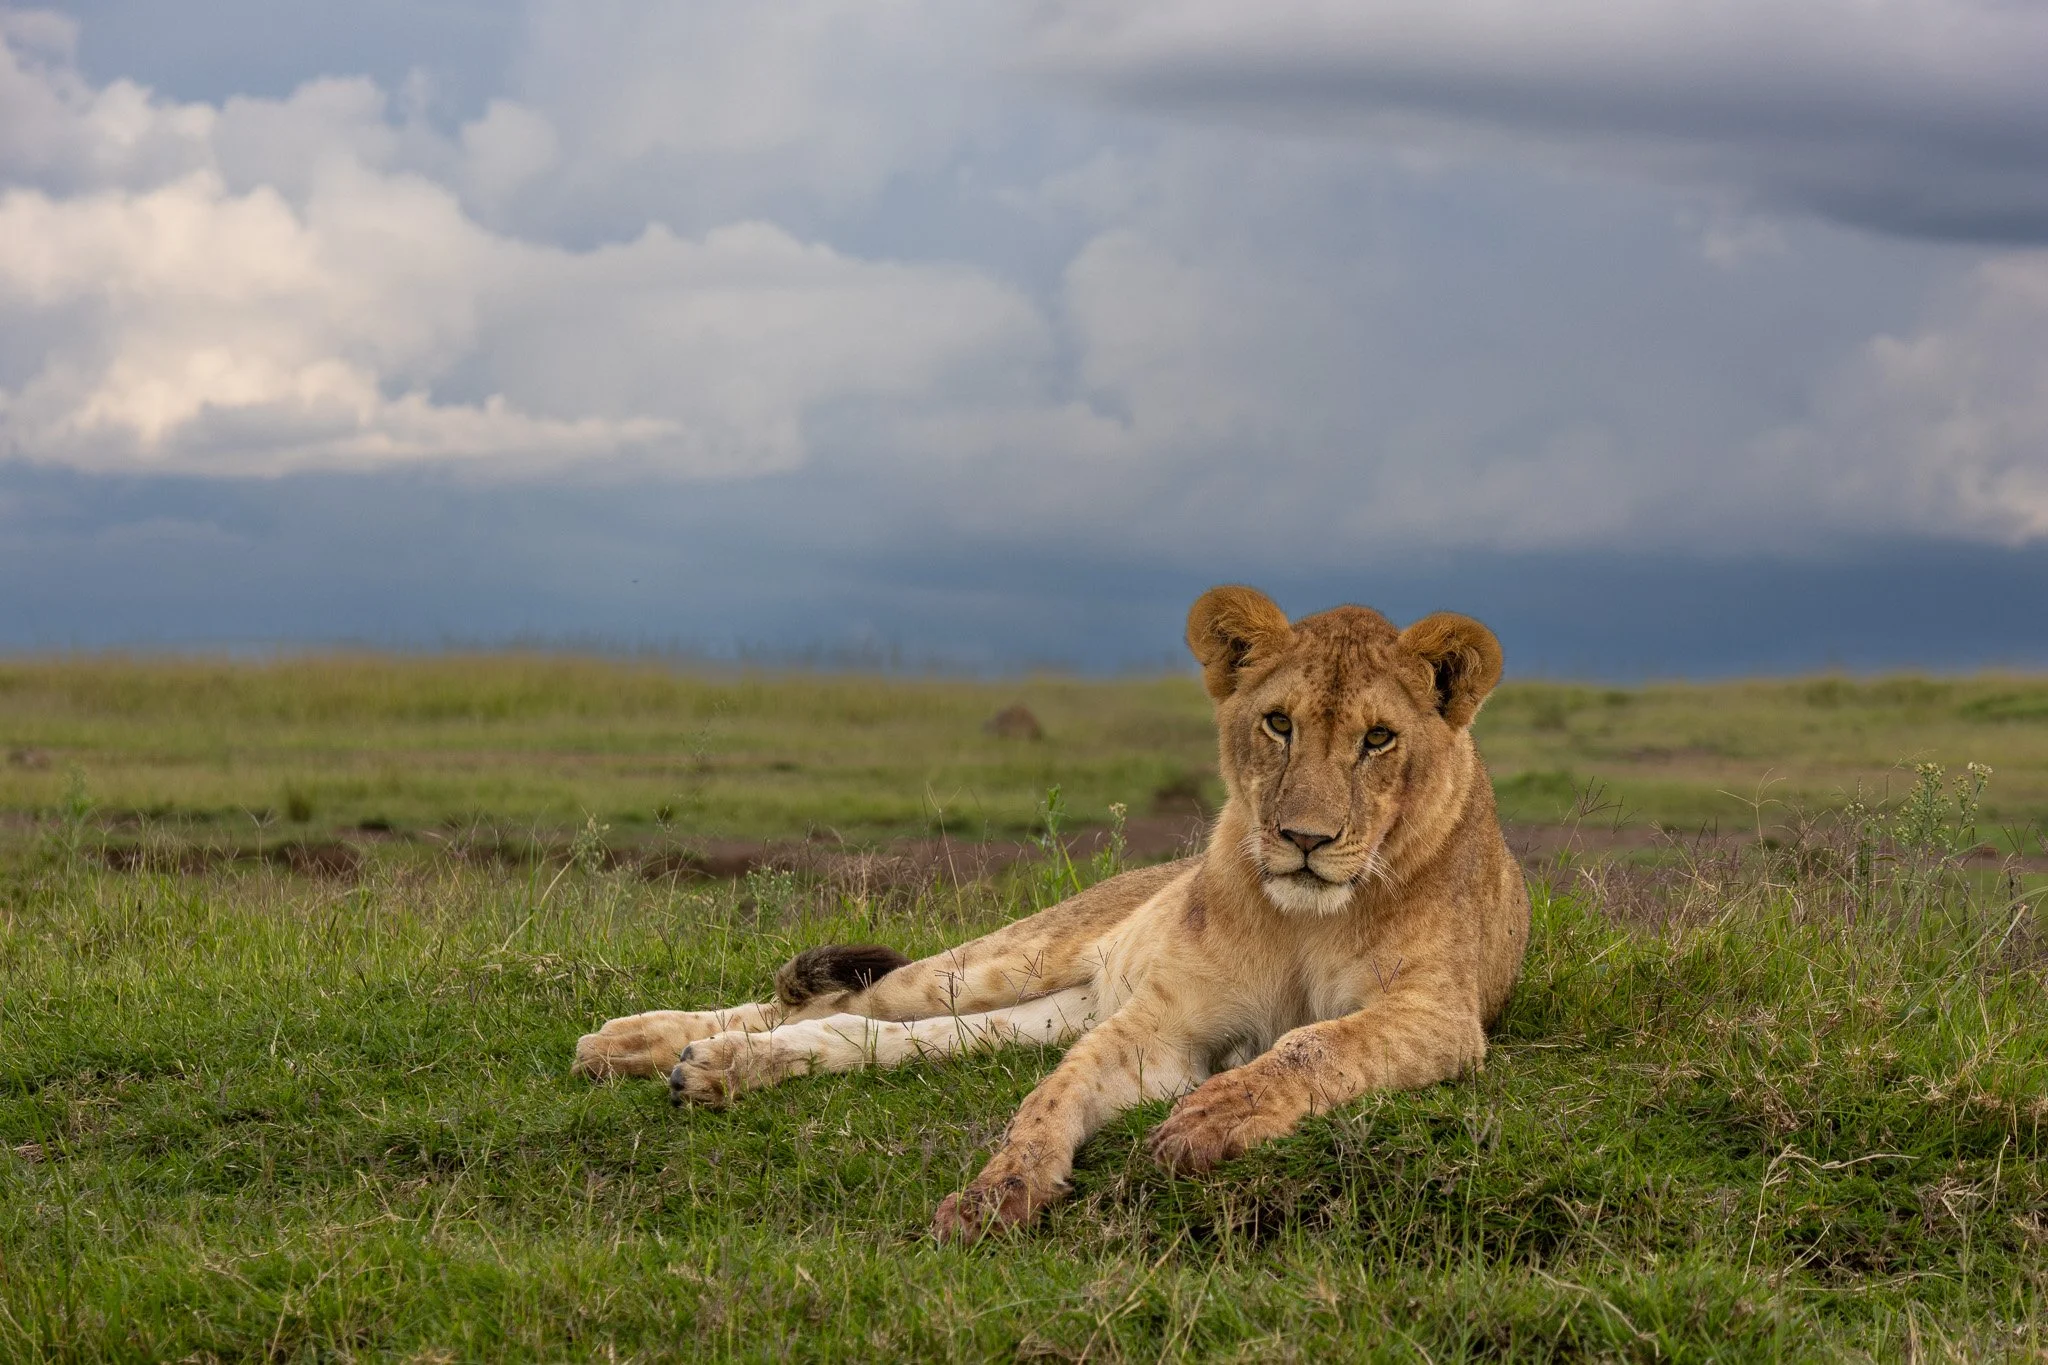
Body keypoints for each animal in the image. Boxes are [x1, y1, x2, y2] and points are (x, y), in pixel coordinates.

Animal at [574, 586, 1531, 1242]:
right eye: (1278, 723)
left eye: (1378, 739)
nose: (1304, 838)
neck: (1305, 916)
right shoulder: (1159, 1028)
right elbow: (1051, 1097)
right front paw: (999, 1188)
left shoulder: (1436, 1013)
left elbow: (1315, 1043)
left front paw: (1216, 1117)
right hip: (1013, 957)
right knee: (833, 999)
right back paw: (638, 1042)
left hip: (1040, 1009)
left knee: (865, 1031)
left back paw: (715, 1068)